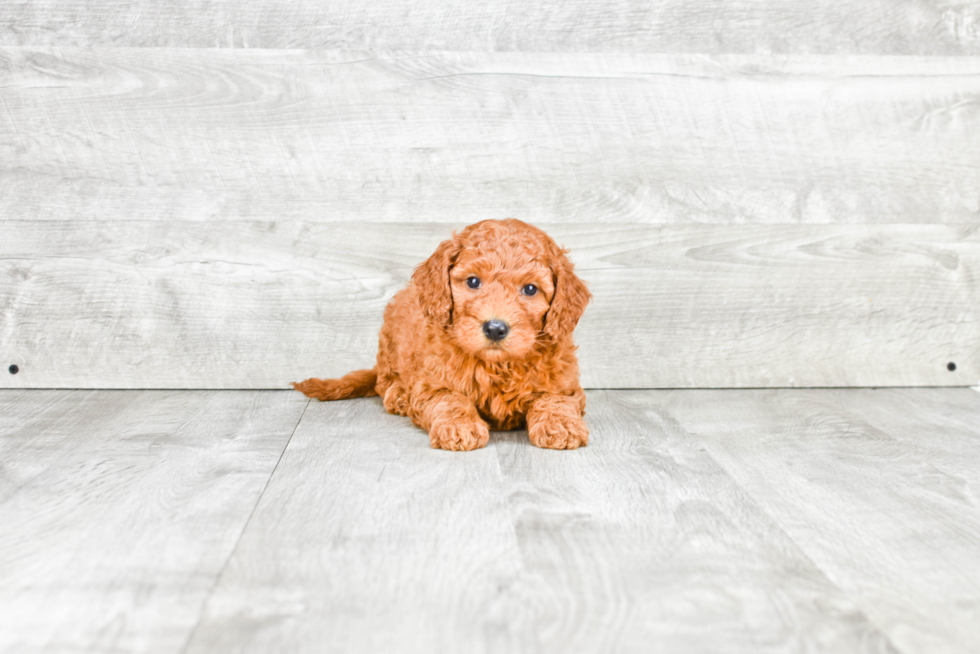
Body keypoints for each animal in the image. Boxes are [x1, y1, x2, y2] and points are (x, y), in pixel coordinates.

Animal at [292, 219, 588, 452]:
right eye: (473, 281)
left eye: (530, 289)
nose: (495, 328)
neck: (497, 366)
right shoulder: (431, 385)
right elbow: (450, 399)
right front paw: (460, 426)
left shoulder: (565, 384)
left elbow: (556, 399)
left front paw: (560, 425)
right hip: (388, 342)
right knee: (383, 381)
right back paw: (399, 395)